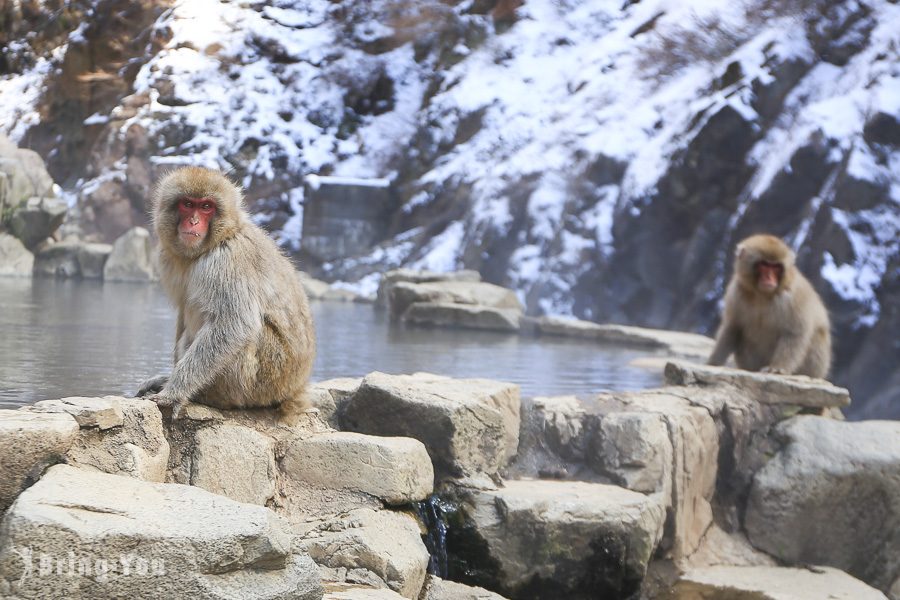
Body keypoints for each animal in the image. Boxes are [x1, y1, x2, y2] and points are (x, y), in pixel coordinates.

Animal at [135, 164, 314, 420]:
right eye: (187, 204)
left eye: (206, 207)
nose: (194, 221)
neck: (217, 240)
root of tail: (295, 388)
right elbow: (183, 314)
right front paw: (167, 379)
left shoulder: (226, 261)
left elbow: (234, 324)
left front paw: (174, 392)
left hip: (261, 379)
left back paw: (208, 396)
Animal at [712, 233, 828, 378]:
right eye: (764, 265)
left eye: (776, 267)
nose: (769, 278)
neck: (763, 295)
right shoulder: (736, 293)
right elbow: (732, 328)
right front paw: (713, 362)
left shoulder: (794, 296)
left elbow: (794, 333)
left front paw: (777, 368)